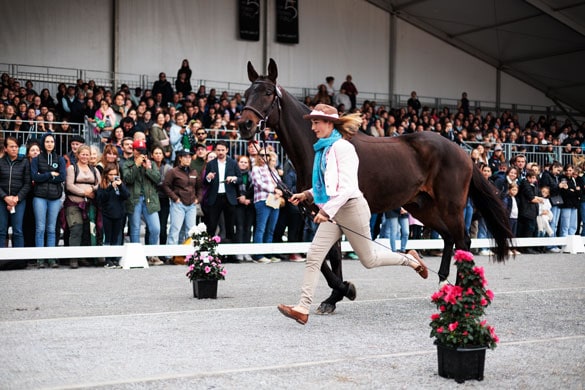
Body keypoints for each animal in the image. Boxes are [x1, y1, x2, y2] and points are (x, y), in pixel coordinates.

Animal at [237, 58, 512, 312]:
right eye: (247, 94)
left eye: (268, 93)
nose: (244, 125)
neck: (319, 147)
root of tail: (462, 152)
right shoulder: (321, 213)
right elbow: (328, 256)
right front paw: (335, 297)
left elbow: (327, 257)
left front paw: (344, 290)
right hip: (422, 207)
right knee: (448, 237)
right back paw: (445, 285)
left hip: (450, 205)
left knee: (463, 241)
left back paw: (465, 293)